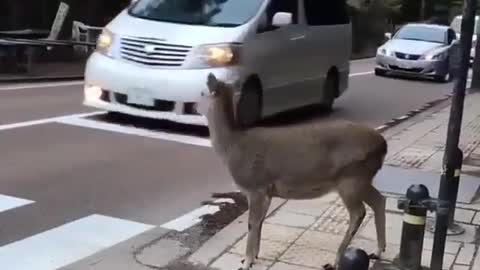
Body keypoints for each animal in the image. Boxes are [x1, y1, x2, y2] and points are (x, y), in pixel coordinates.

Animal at [197, 73, 388, 268]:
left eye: (202, 92)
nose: (193, 106)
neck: (231, 147)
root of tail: (383, 145)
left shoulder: (255, 185)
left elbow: (252, 223)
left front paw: (246, 262)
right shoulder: (267, 190)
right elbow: (260, 222)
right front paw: (253, 256)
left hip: (350, 177)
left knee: (358, 212)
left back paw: (336, 260)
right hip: (362, 177)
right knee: (379, 200)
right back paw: (378, 251)